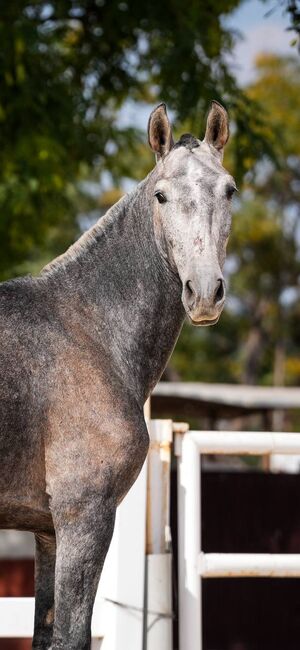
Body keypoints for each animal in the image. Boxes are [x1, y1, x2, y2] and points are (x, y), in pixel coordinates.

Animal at [0, 98, 234, 644]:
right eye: (161, 195)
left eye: (230, 189)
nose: (205, 292)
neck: (87, 329)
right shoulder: (84, 519)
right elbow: (72, 636)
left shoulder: (47, 531)